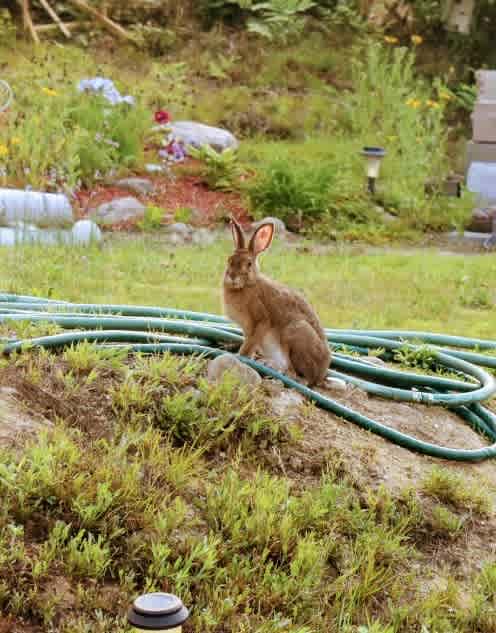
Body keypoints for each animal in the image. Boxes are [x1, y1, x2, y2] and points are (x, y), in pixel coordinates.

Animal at [223, 217, 332, 386]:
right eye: (229, 260)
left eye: (249, 264)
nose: (232, 276)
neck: (247, 285)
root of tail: (321, 375)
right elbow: (251, 344)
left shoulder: (261, 320)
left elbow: (250, 343)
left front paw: (240, 356)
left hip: (295, 333)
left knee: (301, 377)